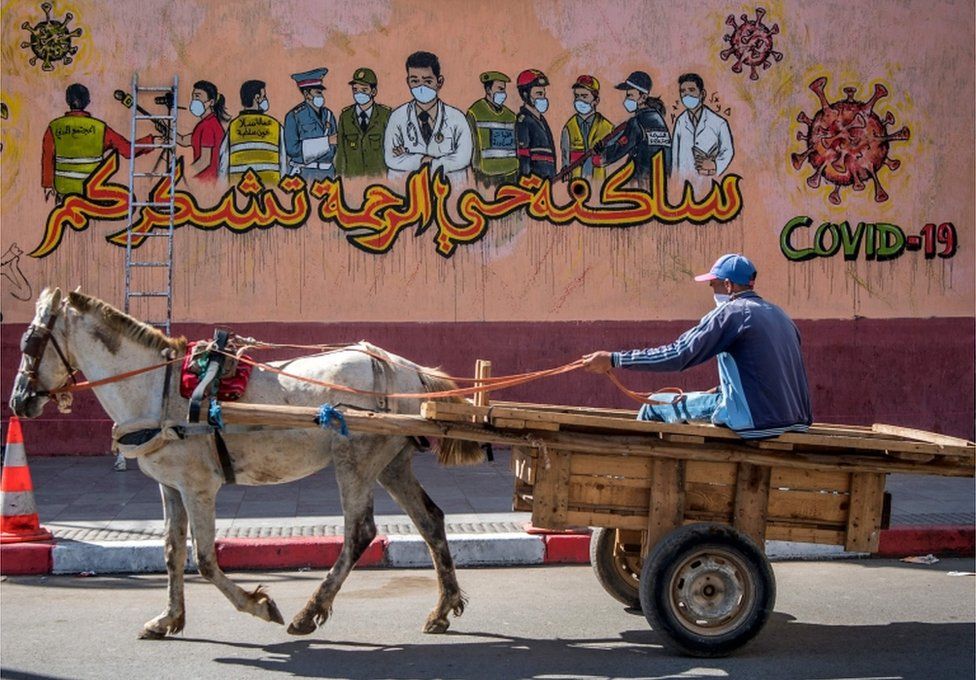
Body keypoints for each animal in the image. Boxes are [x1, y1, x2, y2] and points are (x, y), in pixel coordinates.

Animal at [6, 286, 480, 636]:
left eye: (32, 342)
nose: (19, 401)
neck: (159, 389)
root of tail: (406, 368)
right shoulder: (170, 485)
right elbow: (172, 551)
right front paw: (169, 619)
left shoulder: (199, 487)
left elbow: (205, 559)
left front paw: (259, 605)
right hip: (391, 463)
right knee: (430, 520)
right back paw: (442, 609)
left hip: (356, 461)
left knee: (359, 533)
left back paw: (309, 612)